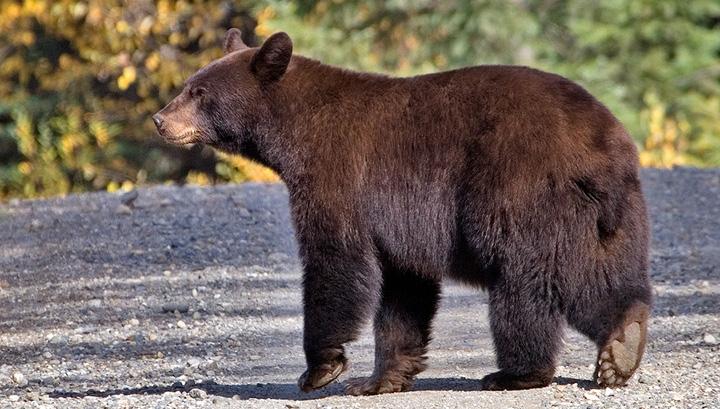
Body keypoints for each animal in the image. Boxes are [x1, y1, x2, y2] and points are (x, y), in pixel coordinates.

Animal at [155, 29, 656, 396]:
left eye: (198, 92)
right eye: (187, 87)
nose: (161, 119)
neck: (292, 133)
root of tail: (603, 144)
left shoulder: (338, 177)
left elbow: (335, 261)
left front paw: (321, 369)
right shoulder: (400, 222)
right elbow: (403, 289)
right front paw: (380, 379)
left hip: (520, 191)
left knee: (527, 280)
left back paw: (517, 372)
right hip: (613, 216)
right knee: (601, 272)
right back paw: (622, 345)